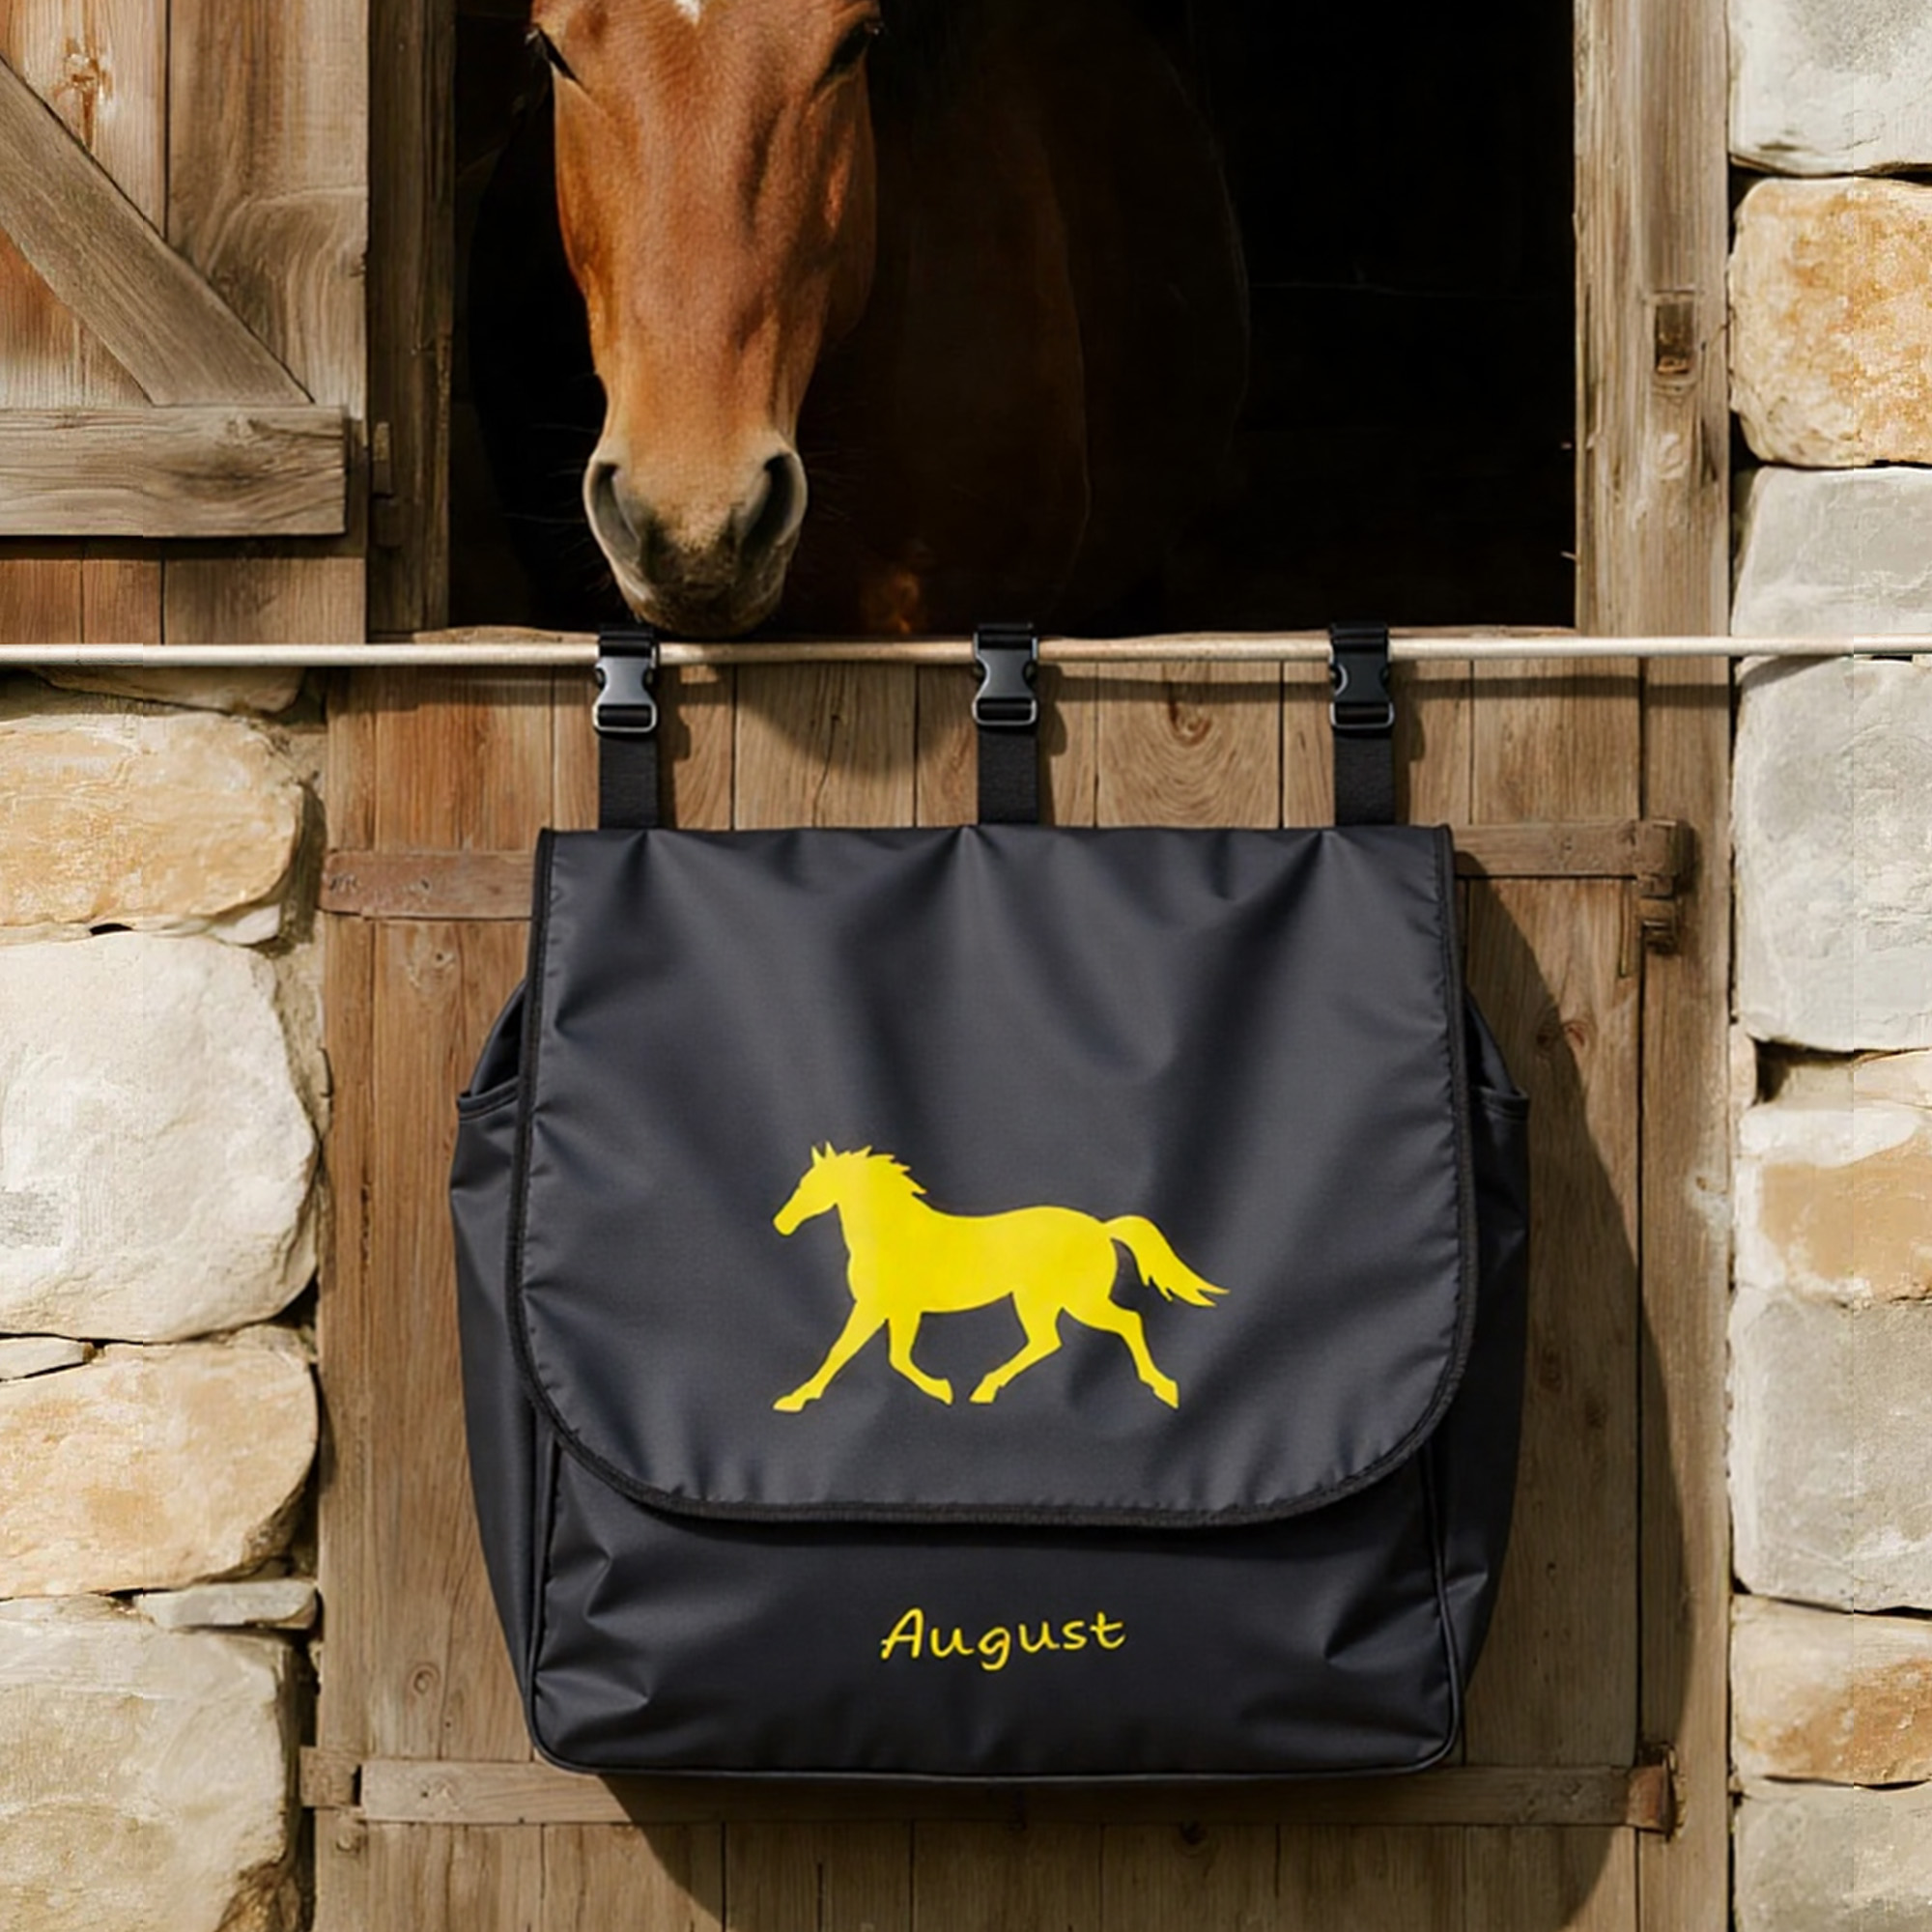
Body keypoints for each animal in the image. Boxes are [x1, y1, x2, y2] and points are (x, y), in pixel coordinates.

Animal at [770, 1145, 1227, 1412]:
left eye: (810, 1186)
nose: (780, 1224)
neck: (894, 1234)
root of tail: (1101, 1228)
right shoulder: (894, 1310)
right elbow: (880, 1355)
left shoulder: (884, 1307)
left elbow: (860, 1353)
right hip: (1040, 1301)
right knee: (1047, 1341)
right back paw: (986, 1388)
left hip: (1072, 1300)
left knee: (1124, 1323)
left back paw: (1163, 1387)